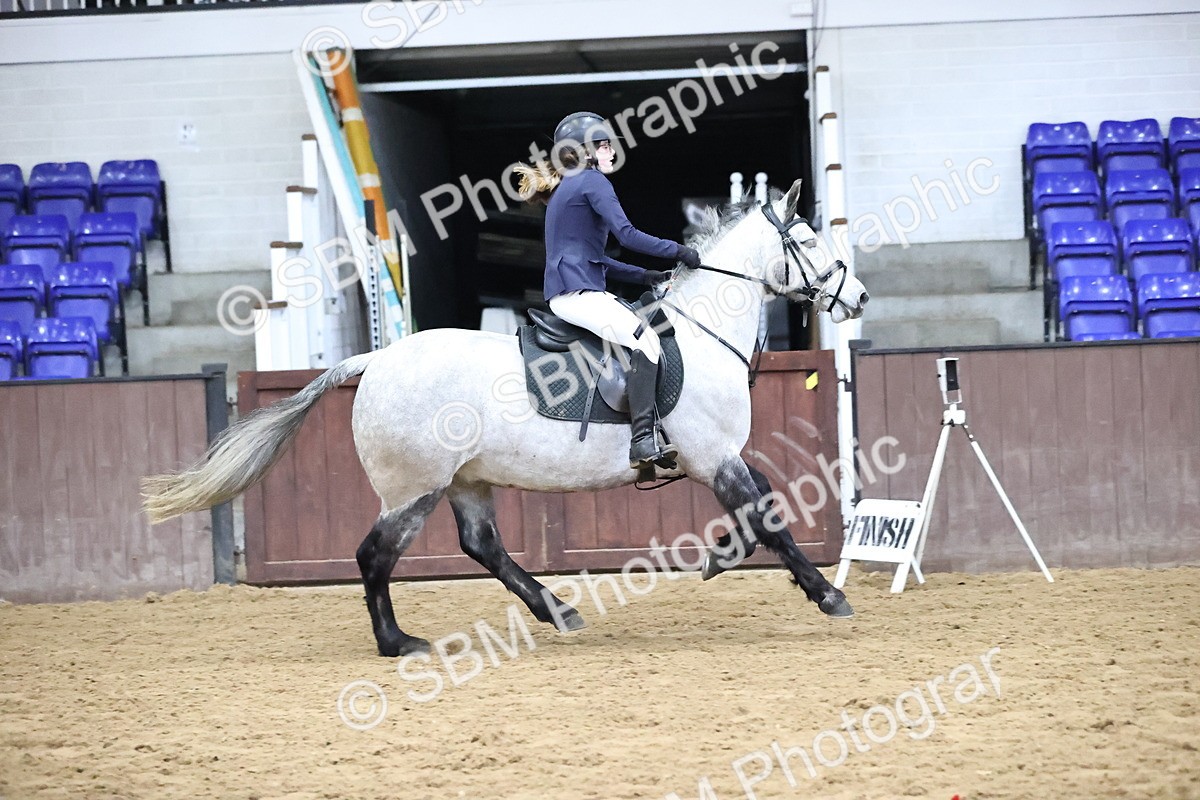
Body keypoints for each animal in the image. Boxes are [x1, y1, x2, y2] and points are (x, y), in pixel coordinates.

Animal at [142, 179, 870, 657]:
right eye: (808, 239)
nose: (858, 297)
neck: (702, 331)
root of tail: (375, 360)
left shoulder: (719, 458)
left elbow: (763, 508)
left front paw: (721, 557)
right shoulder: (712, 456)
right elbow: (768, 519)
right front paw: (827, 596)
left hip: (467, 481)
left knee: (482, 544)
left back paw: (558, 610)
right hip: (415, 487)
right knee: (375, 555)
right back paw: (398, 642)